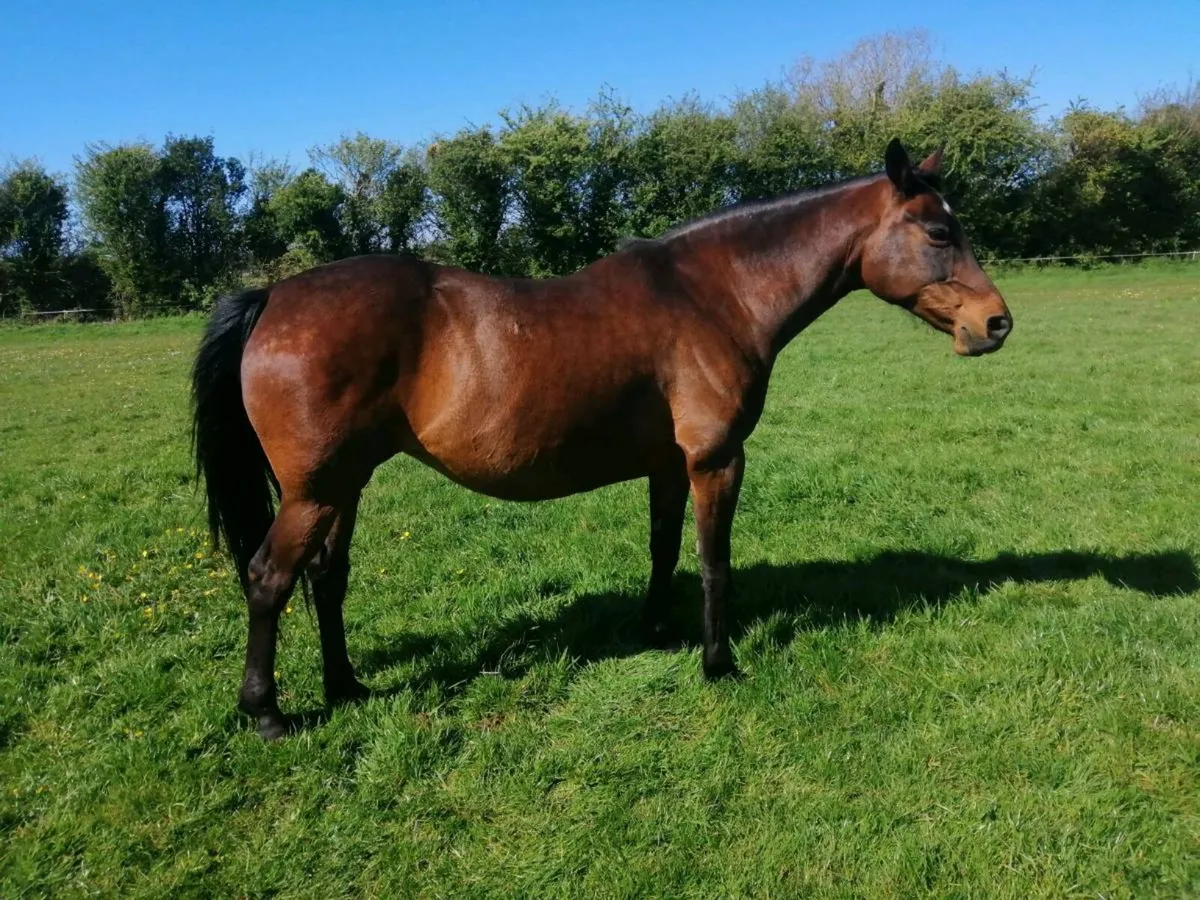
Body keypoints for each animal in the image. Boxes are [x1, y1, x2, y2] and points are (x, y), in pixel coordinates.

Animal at [191, 138, 1013, 740]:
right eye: (940, 231)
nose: (997, 323)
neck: (712, 297)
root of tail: (274, 295)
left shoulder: (669, 466)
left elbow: (664, 548)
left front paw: (655, 630)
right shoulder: (717, 460)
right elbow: (714, 563)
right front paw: (719, 662)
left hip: (343, 485)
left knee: (327, 578)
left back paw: (347, 685)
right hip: (314, 491)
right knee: (269, 579)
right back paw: (266, 714)